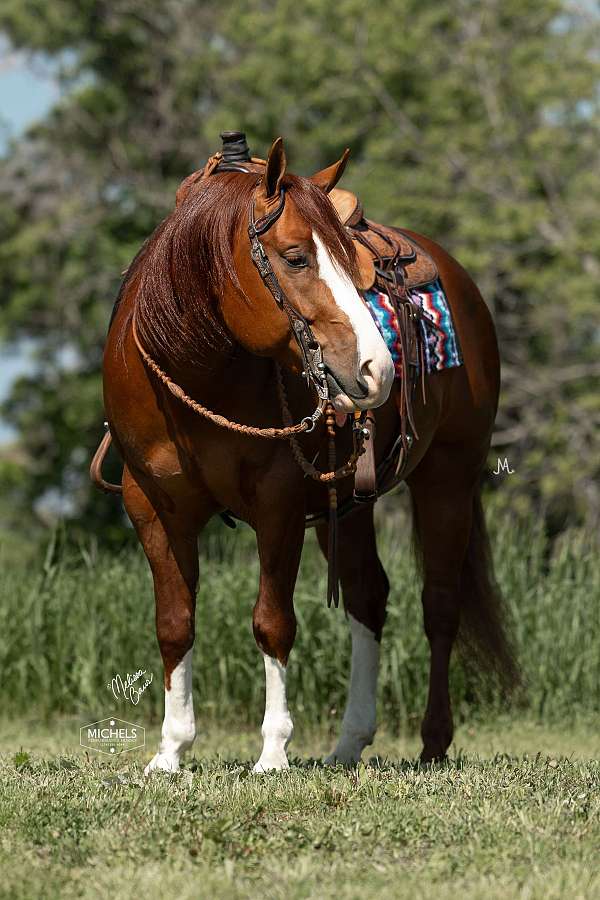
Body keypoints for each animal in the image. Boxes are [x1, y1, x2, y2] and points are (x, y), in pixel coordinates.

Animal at [97, 137, 516, 768]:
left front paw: (273, 753)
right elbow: (174, 623)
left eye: (349, 260)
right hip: (351, 501)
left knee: (440, 605)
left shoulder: (280, 505)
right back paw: (349, 742)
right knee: (369, 595)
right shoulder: (152, 506)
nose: (376, 367)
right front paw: (170, 751)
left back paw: (433, 743)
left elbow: (272, 622)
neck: (197, 372)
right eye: (295, 257)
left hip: (449, 477)